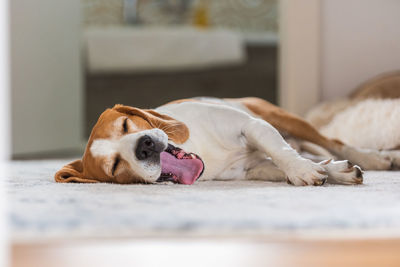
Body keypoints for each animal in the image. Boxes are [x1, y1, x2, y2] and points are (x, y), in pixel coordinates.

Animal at [55, 94, 400, 186]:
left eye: (126, 124)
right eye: (114, 167)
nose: (145, 146)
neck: (204, 155)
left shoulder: (254, 126)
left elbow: (281, 151)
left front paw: (302, 171)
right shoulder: (254, 169)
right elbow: (286, 163)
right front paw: (329, 172)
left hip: (281, 117)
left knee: (334, 142)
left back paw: (376, 157)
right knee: (319, 153)